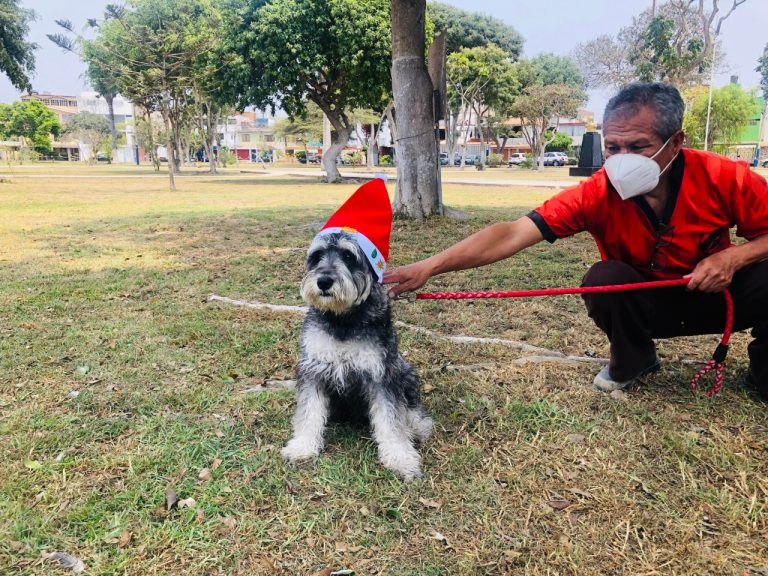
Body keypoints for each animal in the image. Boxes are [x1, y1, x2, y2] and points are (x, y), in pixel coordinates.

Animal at [282, 232, 436, 480]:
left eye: (348, 256)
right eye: (317, 255)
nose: (323, 281)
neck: (342, 319)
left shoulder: (381, 374)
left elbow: (391, 419)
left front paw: (400, 458)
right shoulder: (313, 370)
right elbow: (309, 412)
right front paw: (302, 446)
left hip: (404, 368)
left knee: (410, 407)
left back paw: (418, 426)